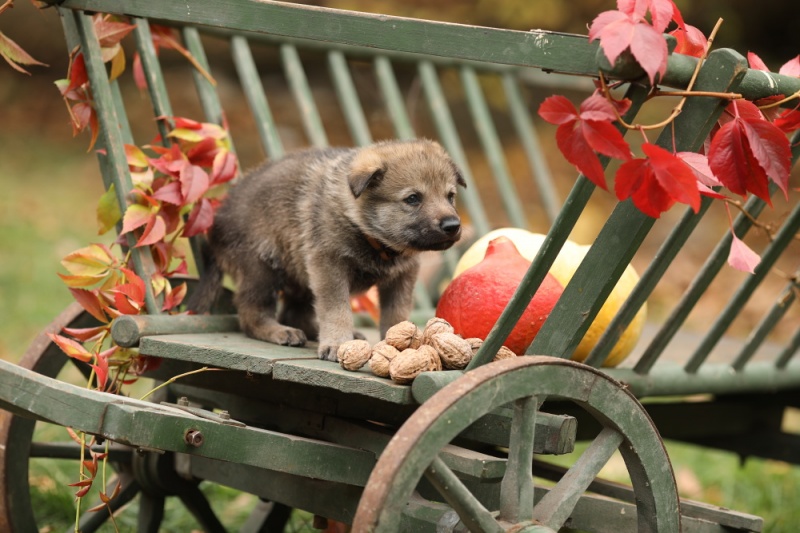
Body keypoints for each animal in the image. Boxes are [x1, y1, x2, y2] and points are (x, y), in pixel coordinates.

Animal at [189, 138, 462, 362]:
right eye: (413, 199)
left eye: (450, 196)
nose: (453, 226)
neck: (372, 237)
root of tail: (216, 223)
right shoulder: (329, 267)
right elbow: (336, 309)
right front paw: (338, 343)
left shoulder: (402, 277)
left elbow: (396, 315)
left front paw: (400, 342)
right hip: (262, 269)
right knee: (251, 313)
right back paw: (279, 331)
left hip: (299, 273)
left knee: (294, 313)